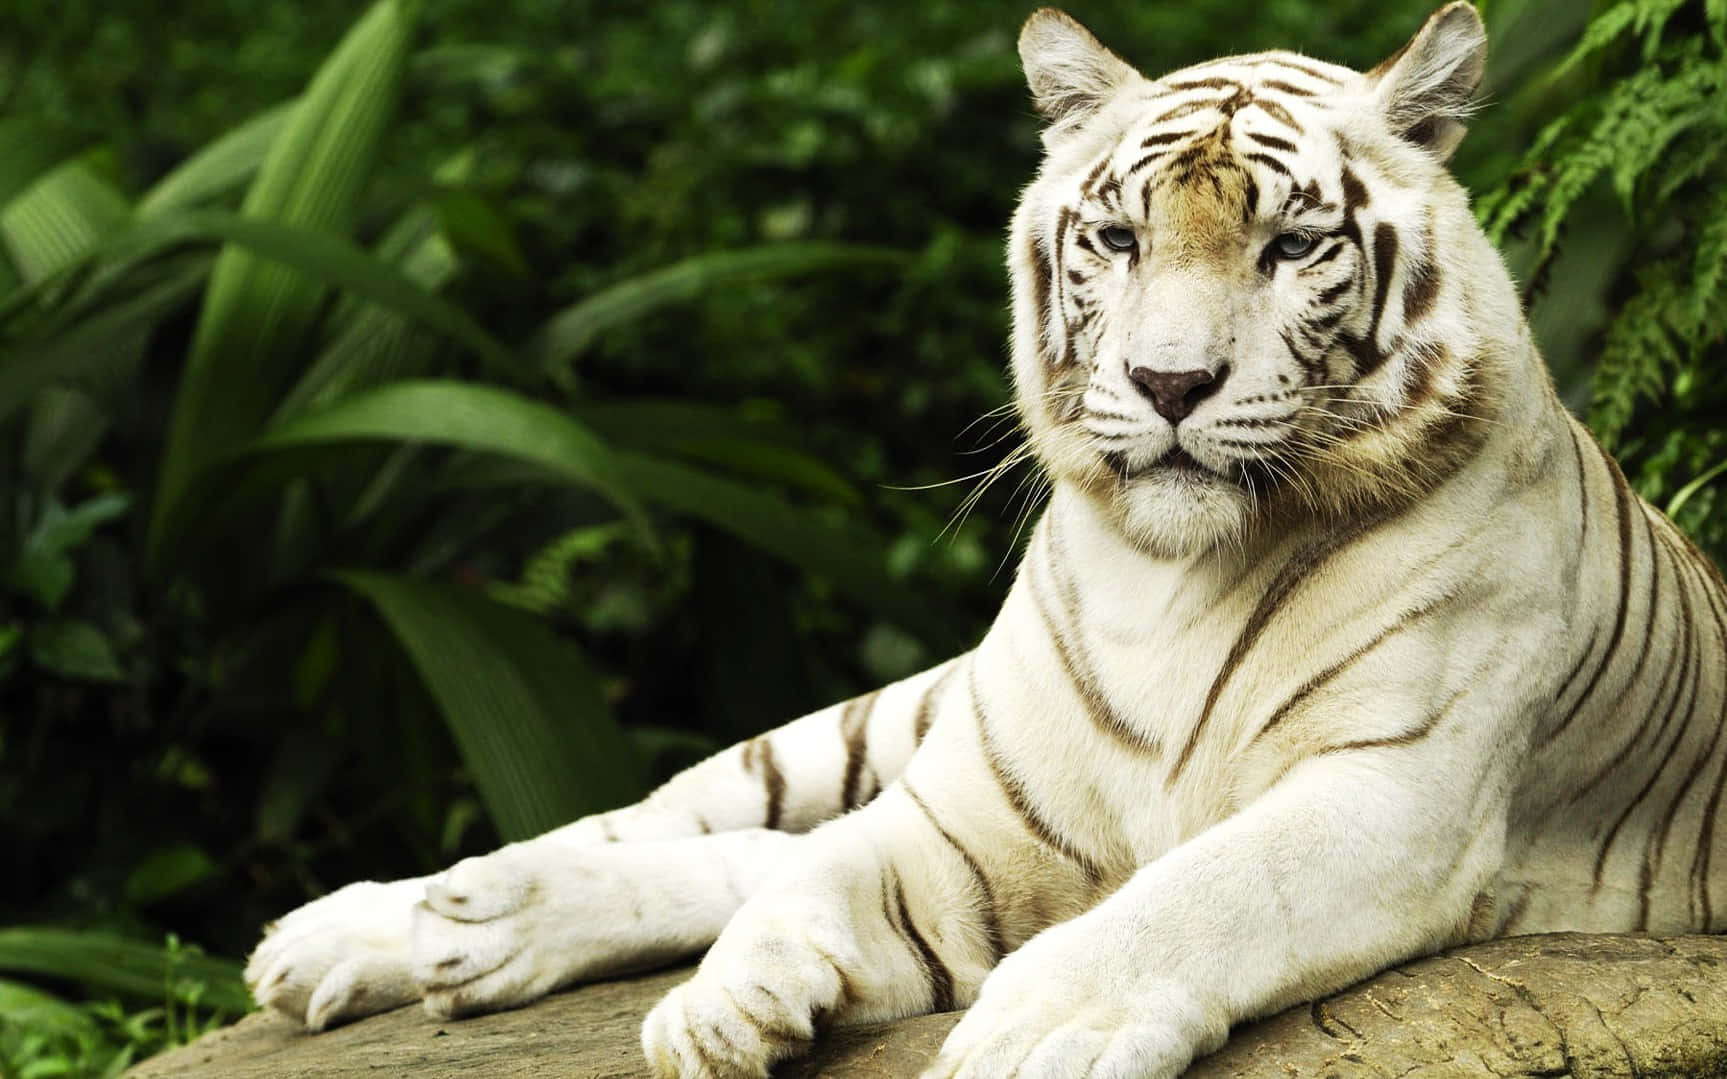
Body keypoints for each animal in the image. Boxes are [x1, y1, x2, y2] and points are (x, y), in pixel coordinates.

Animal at [245, 3, 1727, 1077]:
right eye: (1118, 237)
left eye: (1291, 246)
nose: (1168, 382)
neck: (1168, 578)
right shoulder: (966, 815)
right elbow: (821, 870)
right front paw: (725, 1004)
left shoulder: (1391, 795)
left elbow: (1201, 890)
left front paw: (1030, 1030)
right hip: (890, 722)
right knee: (694, 821)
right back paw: (407, 920)